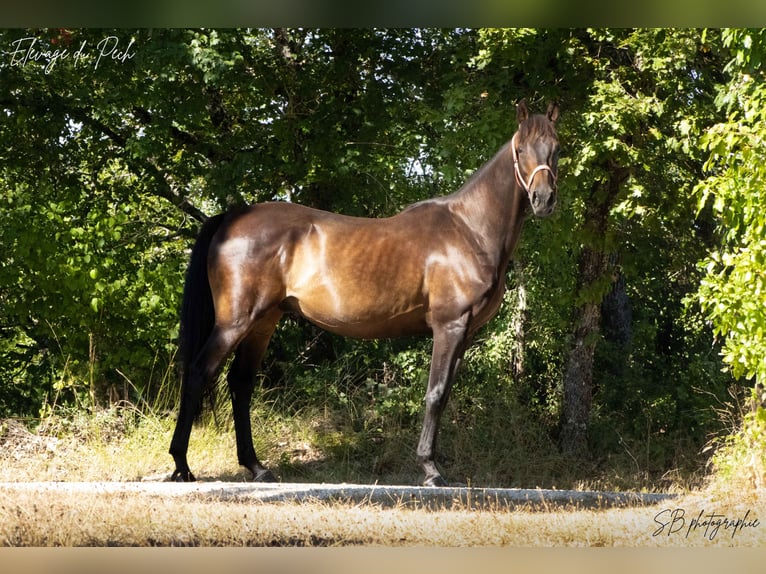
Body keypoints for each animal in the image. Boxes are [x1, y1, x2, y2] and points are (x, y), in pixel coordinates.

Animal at [171, 101, 560, 488]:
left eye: (556, 149)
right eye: (521, 150)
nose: (543, 200)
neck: (469, 229)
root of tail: (232, 217)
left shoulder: (464, 334)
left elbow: (445, 394)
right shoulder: (449, 325)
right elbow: (435, 394)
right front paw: (431, 470)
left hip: (263, 322)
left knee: (240, 383)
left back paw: (256, 467)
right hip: (235, 321)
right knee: (199, 371)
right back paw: (182, 466)